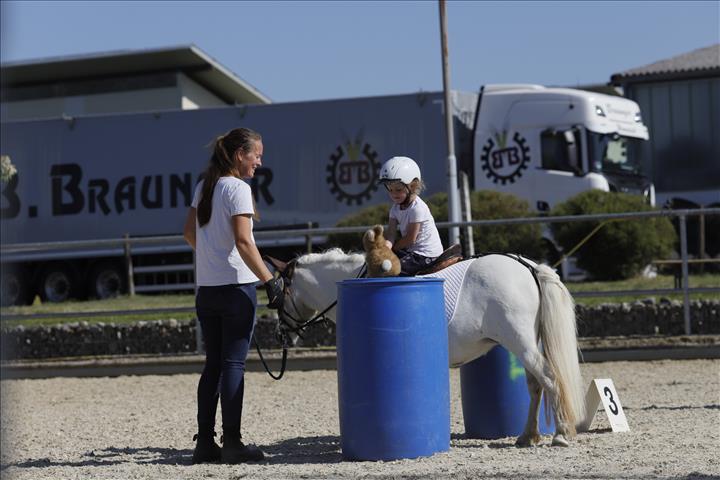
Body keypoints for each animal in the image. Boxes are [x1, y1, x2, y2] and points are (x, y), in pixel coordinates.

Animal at [268, 248, 586, 447]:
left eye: (277, 296)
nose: (280, 334)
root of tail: (527, 266)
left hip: (521, 344)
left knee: (550, 379)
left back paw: (560, 434)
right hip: (526, 345)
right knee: (535, 385)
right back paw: (528, 435)